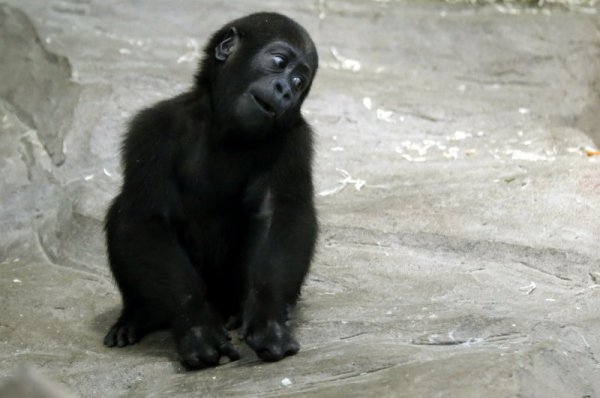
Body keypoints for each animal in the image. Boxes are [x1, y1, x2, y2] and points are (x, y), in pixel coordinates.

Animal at [103, 11, 318, 370]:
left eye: (300, 82)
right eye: (278, 62)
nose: (285, 91)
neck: (223, 125)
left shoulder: (293, 137)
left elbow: (280, 214)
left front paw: (267, 317)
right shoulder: (152, 127)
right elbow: (147, 218)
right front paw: (196, 326)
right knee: (122, 212)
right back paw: (140, 313)